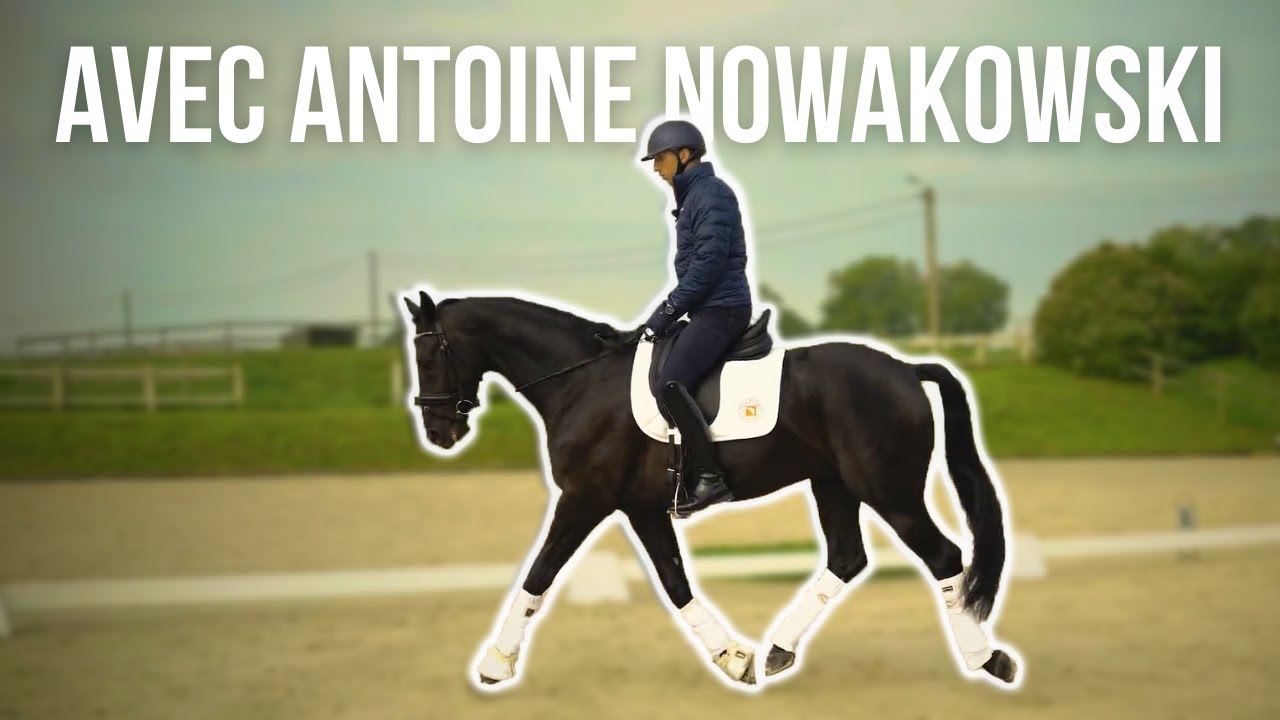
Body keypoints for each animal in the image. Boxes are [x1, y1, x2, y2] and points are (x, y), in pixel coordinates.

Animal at [400, 288, 1020, 690]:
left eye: (430, 353)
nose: (439, 431)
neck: (580, 381)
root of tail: (906, 369)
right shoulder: (641, 507)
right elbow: (675, 583)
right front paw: (733, 659)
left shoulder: (584, 499)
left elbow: (538, 574)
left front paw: (495, 664)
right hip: (834, 484)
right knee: (847, 558)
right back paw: (778, 651)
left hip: (889, 490)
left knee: (943, 557)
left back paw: (986, 660)